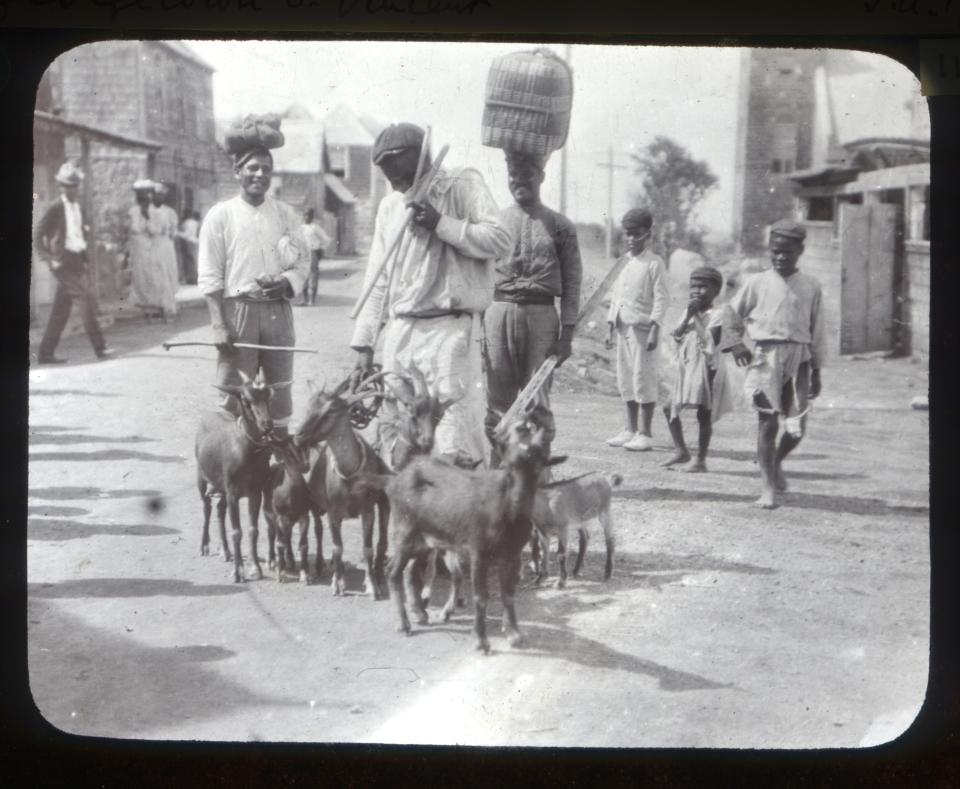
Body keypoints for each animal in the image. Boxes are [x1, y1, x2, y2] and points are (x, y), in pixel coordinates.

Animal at [195, 372, 292, 580]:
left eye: (269, 397)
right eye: (246, 400)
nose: (267, 425)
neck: (246, 453)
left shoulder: (255, 492)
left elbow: (252, 530)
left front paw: (255, 567)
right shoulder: (233, 493)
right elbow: (237, 531)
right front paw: (238, 572)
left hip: (223, 488)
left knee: (219, 509)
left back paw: (226, 551)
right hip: (202, 477)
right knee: (206, 506)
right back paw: (204, 546)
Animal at [262, 434, 322, 580]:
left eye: (303, 447)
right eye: (287, 449)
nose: (305, 465)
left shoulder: (304, 515)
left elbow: (303, 544)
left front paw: (305, 573)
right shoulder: (280, 517)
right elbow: (279, 542)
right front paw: (281, 572)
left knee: (287, 535)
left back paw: (290, 561)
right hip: (269, 514)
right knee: (272, 534)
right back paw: (272, 561)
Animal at [296, 374, 394, 596]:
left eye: (330, 410)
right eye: (308, 405)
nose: (298, 436)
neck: (349, 474)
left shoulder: (368, 509)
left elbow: (367, 548)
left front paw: (372, 586)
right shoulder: (333, 511)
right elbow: (337, 547)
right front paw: (338, 584)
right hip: (315, 505)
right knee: (319, 530)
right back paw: (322, 567)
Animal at [360, 418, 564, 652]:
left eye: (540, 461)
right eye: (508, 461)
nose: (519, 496)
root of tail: (393, 481)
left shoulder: (511, 554)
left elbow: (508, 594)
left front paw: (514, 634)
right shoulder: (479, 552)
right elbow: (480, 596)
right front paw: (481, 640)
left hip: (424, 541)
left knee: (408, 571)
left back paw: (419, 613)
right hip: (403, 532)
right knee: (392, 572)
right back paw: (404, 624)